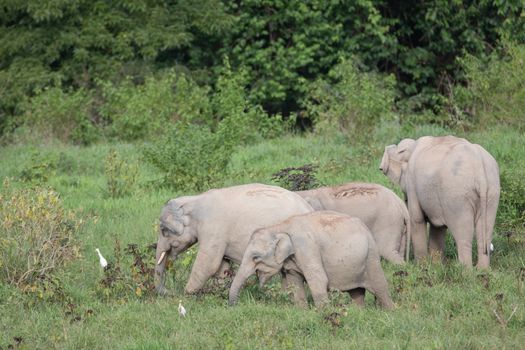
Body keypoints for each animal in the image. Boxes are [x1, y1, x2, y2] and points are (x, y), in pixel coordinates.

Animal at [154, 183, 314, 298]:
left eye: (163, 230)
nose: (171, 292)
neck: (194, 200)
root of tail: (310, 208)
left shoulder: (213, 228)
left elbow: (208, 264)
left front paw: (186, 296)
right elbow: (221, 267)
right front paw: (219, 292)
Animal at [229, 209, 392, 308]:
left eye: (256, 257)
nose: (234, 306)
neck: (279, 226)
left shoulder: (307, 247)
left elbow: (318, 279)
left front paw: (324, 313)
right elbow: (294, 282)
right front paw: (302, 311)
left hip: (371, 255)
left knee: (380, 287)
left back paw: (389, 311)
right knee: (356, 292)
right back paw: (358, 312)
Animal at [380, 135, 500, 266]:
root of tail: (479, 167)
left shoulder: (412, 184)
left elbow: (417, 219)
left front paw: (422, 265)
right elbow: (438, 227)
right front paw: (436, 265)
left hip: (457, 196)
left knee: (463, 235)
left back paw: (464, 269)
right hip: (492, 191)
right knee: (485, 232)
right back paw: (481, 269)